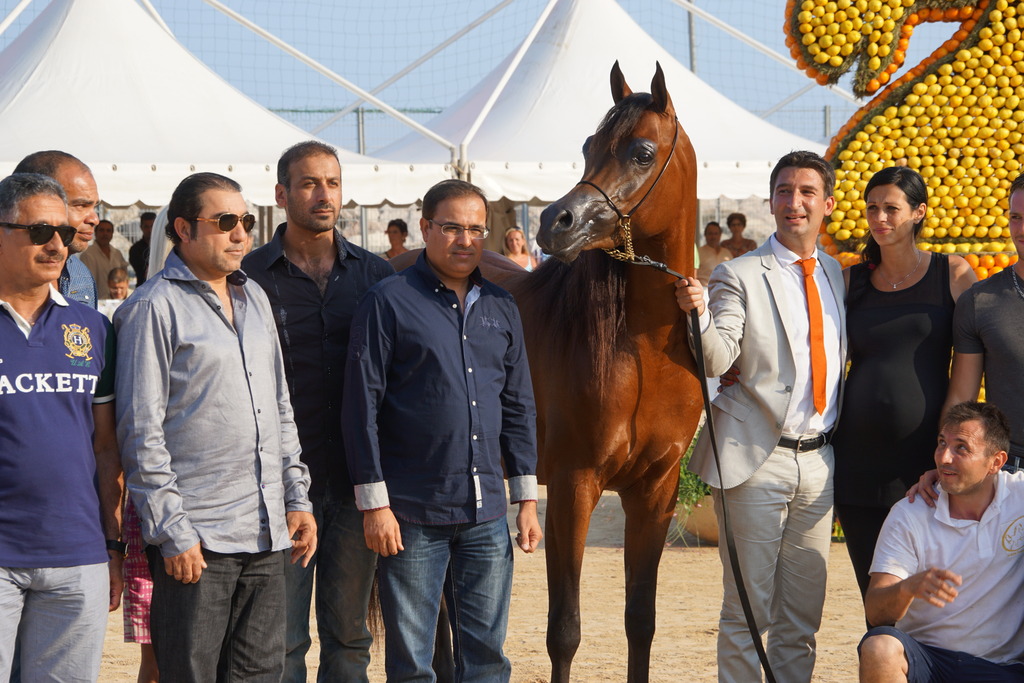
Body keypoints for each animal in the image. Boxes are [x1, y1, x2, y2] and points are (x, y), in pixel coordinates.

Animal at [490, 61, 704, 682]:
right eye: (588, 145)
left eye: (642, 152)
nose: (556, 223)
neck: (643, 351)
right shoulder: (572, 486)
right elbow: (564, 630)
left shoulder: (653, 493)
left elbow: (641, 622)